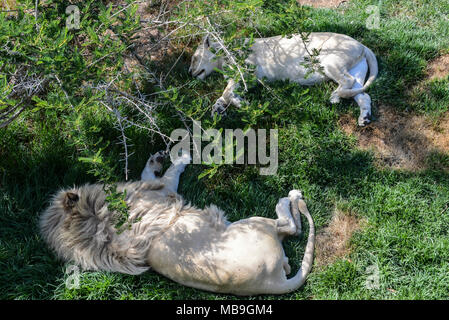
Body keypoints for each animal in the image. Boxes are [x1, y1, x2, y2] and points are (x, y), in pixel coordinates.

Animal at [187, 32, 376, 126]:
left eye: (194, 58)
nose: (189, 72)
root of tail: (362, 45)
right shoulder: (241, 79)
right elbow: (223, 95)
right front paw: (217, 111)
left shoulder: (248, 72)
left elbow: (227, 93)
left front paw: (243, 104)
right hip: (356, 70)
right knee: (362, 94)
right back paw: (364, 118)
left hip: (329, 61)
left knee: (347, 82)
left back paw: (334, 97)